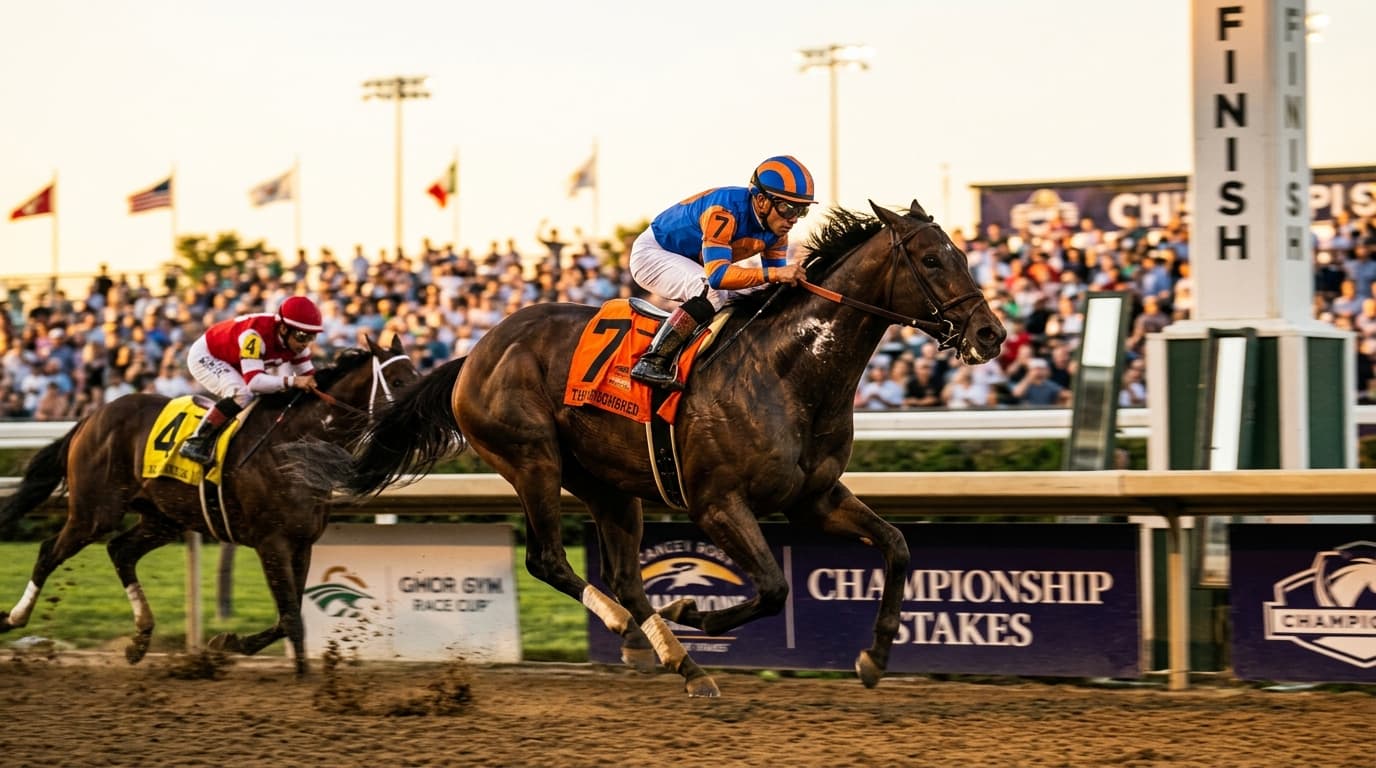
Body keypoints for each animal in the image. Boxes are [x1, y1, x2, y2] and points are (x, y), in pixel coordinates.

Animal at [0, 336, 419, 672]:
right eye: (399, 381)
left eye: (418, 376)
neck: (297, 443)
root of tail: (92, 416)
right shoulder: (272, 543)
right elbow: (291, 617)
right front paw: (303, 679)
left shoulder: (301, 543)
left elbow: (289, 615)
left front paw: (228, 643)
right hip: (95, 511)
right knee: (49, 551)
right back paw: (14, 618)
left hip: (163, 517)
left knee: (120, 551)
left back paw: (140, 639)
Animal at [337, 201, 1005, 696]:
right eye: (931, 259)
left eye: (963, 254)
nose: (991, 333)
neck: (788, 371)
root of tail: (474, 352)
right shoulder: (716, 503)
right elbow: (772, 587)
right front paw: (693, 611)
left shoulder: (813, 498)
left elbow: (897, 547)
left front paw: (875, 655)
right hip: (532, 460)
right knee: (548, 560)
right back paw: (630, 629)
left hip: (609, 485)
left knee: (626, 576)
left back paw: (677, 660)